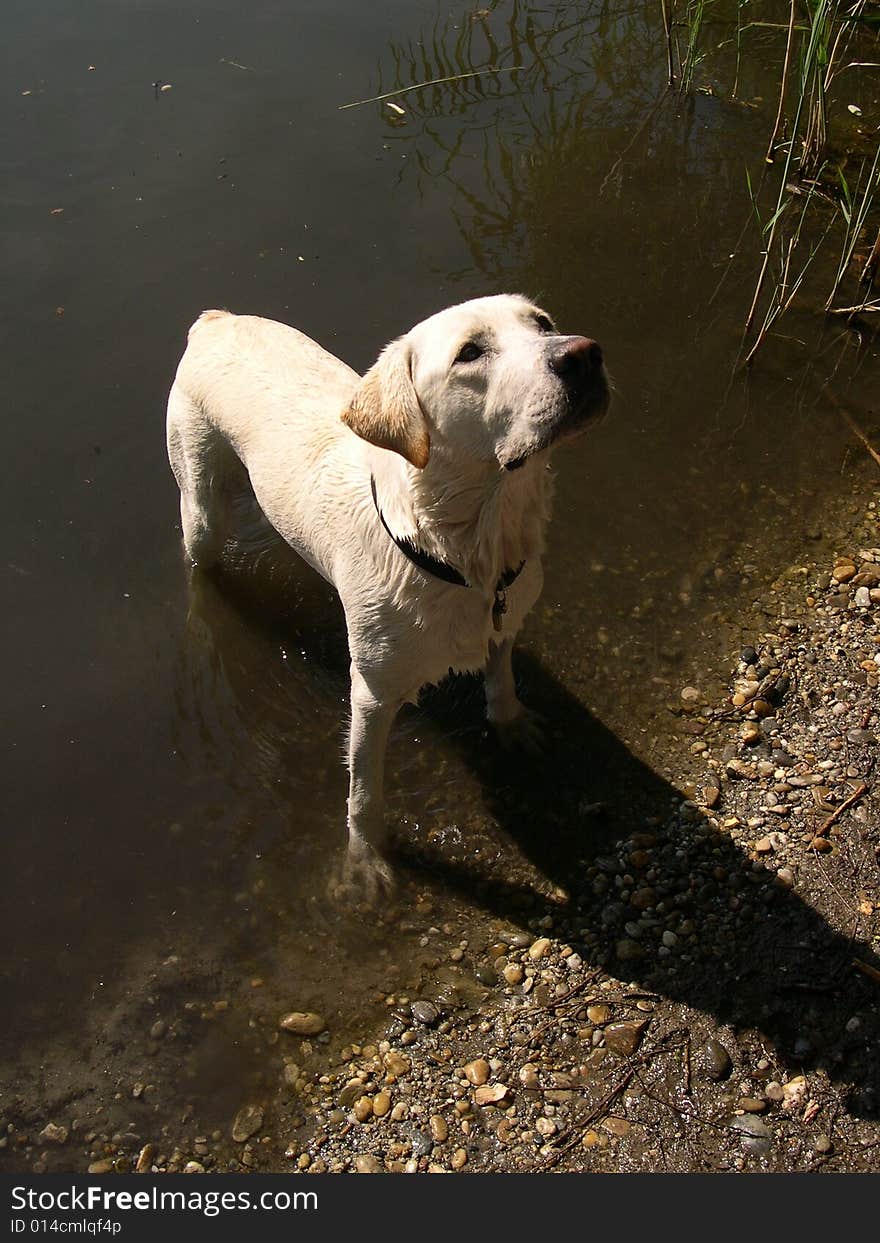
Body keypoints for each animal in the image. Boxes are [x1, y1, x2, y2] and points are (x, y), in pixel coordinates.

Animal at [165, 295, 609, 899]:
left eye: (543, 324)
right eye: (470, 352)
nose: (584, 354)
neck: (465, 551)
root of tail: (214, 323)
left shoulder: (506, 616)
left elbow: (501, 673)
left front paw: (513, 724)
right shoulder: (373, 692)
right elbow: (364, 789)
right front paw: (366, 860)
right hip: (201, 499)